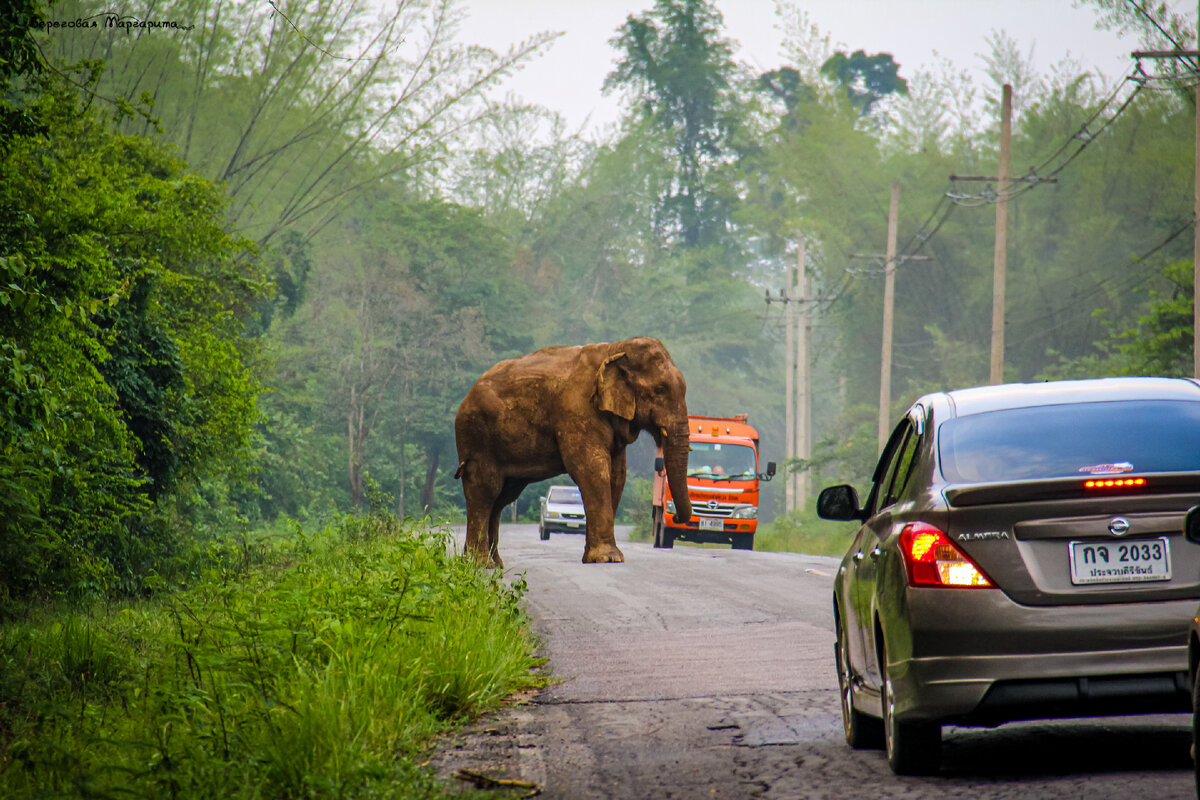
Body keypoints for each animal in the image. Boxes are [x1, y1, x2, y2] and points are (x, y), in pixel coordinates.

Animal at [451, 335, 696, 566]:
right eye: (660, 389)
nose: (676, 519)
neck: (614, 349)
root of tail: (466, 397)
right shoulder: (576, 409)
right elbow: (593, 469)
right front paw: (609, 558)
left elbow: (617, 475)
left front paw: (594, 557)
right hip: (476, 436)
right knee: (485, 489)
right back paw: (480, 564)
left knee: (503, 496)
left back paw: (493, 563)